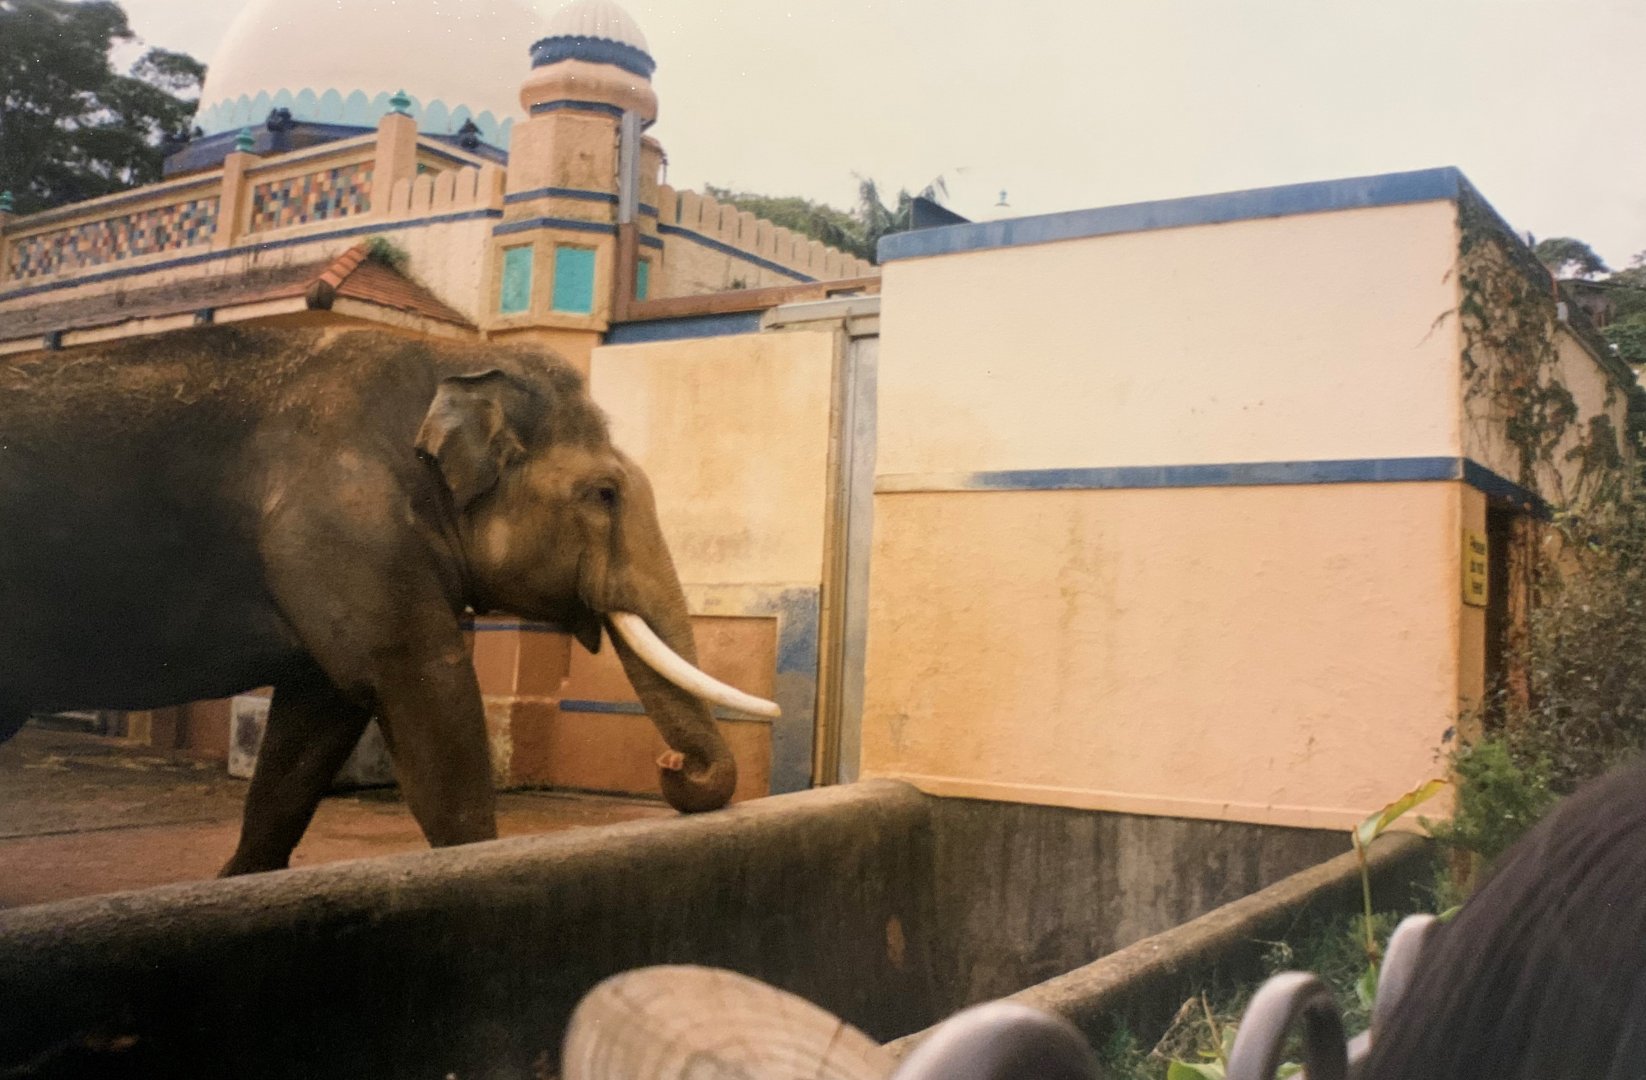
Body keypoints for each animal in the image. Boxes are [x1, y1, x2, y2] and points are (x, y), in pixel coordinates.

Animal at [0, 325, 776, 875]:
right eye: (606, 493)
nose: (672, 764)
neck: (453, 356)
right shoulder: (342, 522)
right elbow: (426, 689)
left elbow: (314, 722)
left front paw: (237, 884)